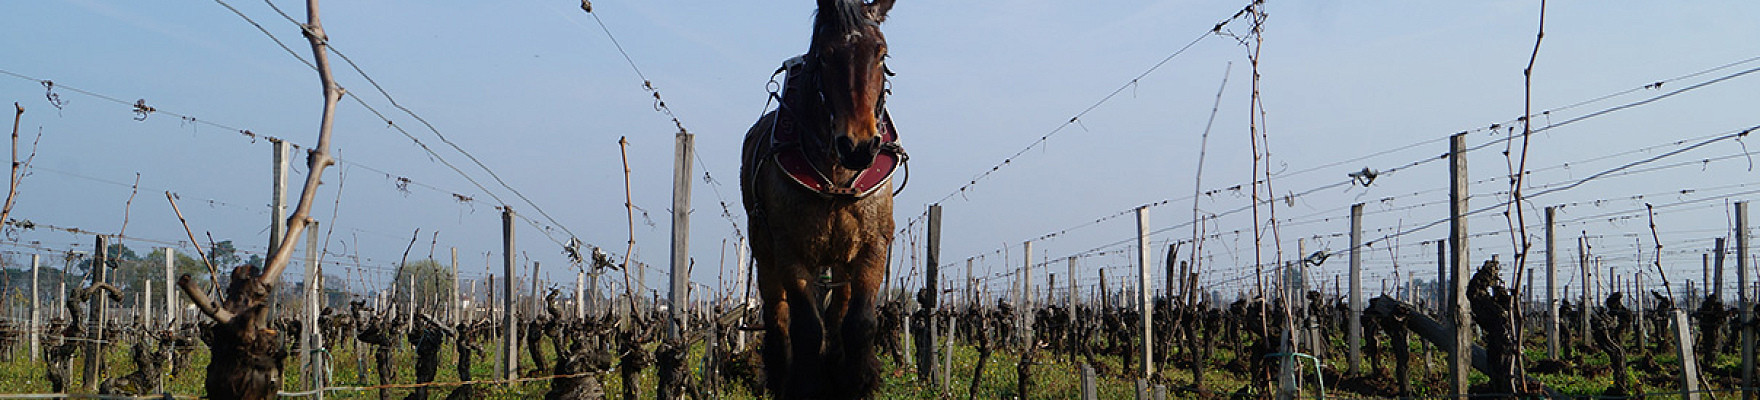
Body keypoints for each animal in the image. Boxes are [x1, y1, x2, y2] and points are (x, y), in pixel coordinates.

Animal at [746, 0, 908, 396]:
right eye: (824, 55)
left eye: (881, 54)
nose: (859, 146)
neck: (837, 178)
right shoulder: (790, 250)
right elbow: (806, 327)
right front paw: (805, 385)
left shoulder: (872, 245)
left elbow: (859, 323)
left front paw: (858, 381)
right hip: (764, 251)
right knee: (778, 318)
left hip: (842, 259)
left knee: (838, 315)